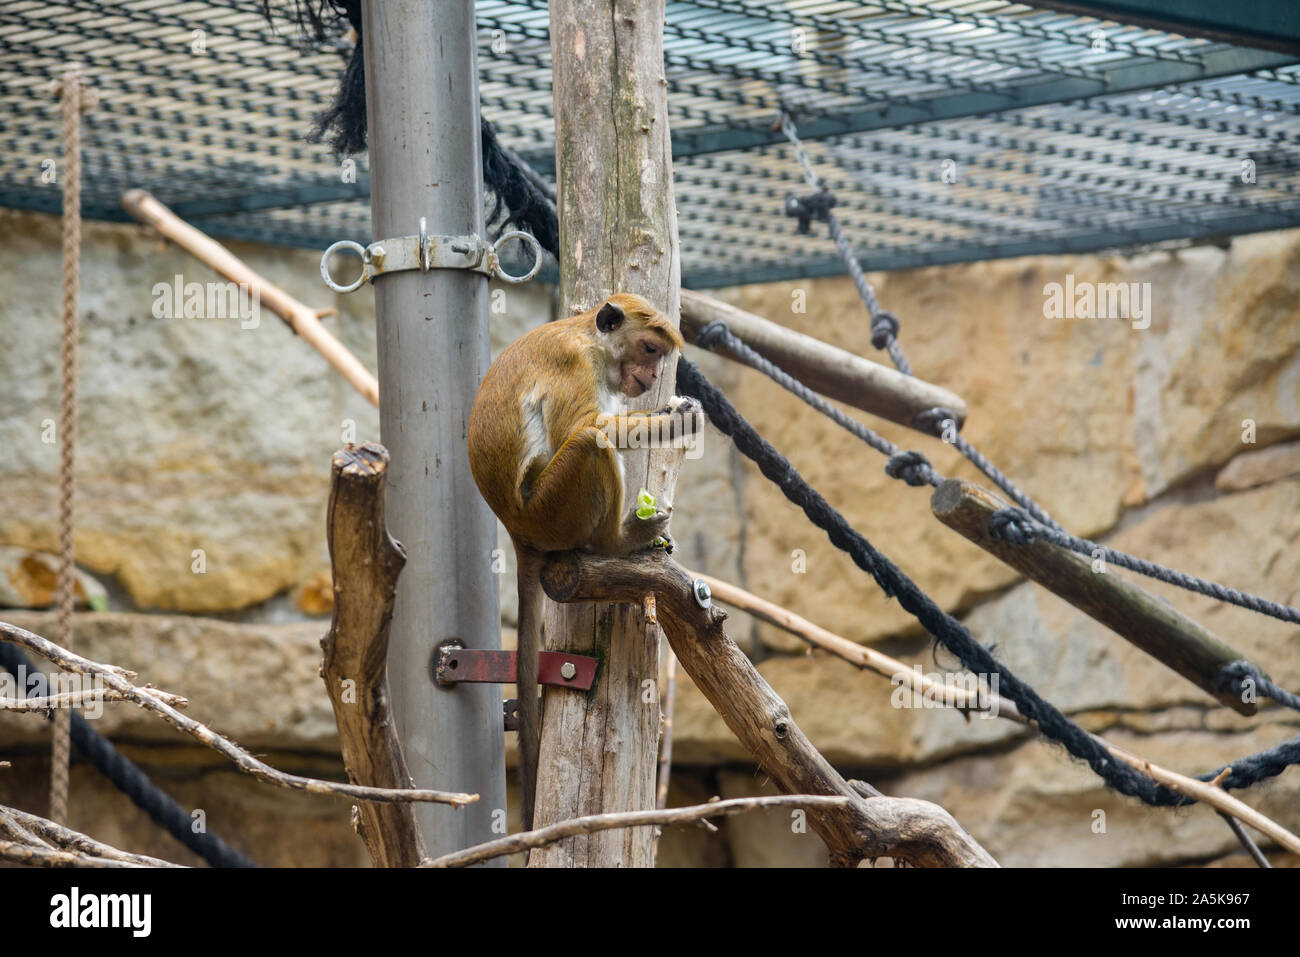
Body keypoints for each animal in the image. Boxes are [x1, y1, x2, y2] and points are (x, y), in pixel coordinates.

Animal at [467, 293, 702, 831]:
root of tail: (518, 528)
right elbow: (587, 429)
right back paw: (619, 540)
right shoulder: (572, 363)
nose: (652, 375)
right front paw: (671, 421)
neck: (591, 339)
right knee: (590, 441)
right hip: (553, 508)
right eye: (650, 348)